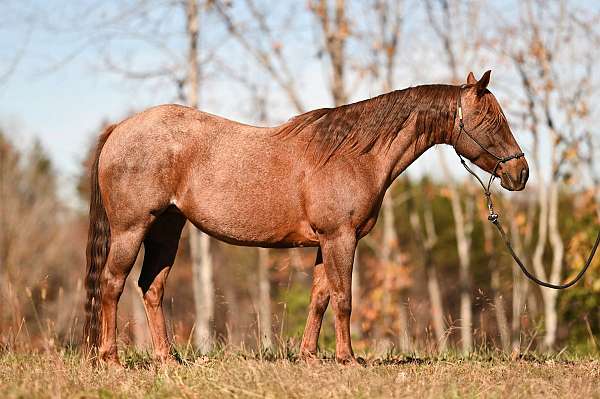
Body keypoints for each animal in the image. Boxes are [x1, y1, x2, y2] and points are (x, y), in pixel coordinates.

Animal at [85, 71, 528, 366]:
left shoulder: (326, 243)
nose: (520, 173)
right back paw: (112, 359)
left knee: (151, 288)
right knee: (112, 284)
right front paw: (349, 359)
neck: (353, 154)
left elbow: (321, 298)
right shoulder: (339, 238)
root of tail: (119, 129)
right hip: (131, 230)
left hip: (166, 230)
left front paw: (310, 357)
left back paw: (167, 359)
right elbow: (344, 299)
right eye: (492, 120)